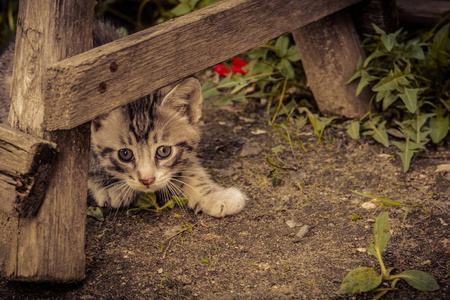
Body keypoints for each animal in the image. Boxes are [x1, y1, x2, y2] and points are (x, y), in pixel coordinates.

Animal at [0, 21, 246, 218]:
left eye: (164, 151)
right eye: (125, 154)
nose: (147, 180)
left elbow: (190, 167)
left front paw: (215, 196)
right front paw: (110, 185)